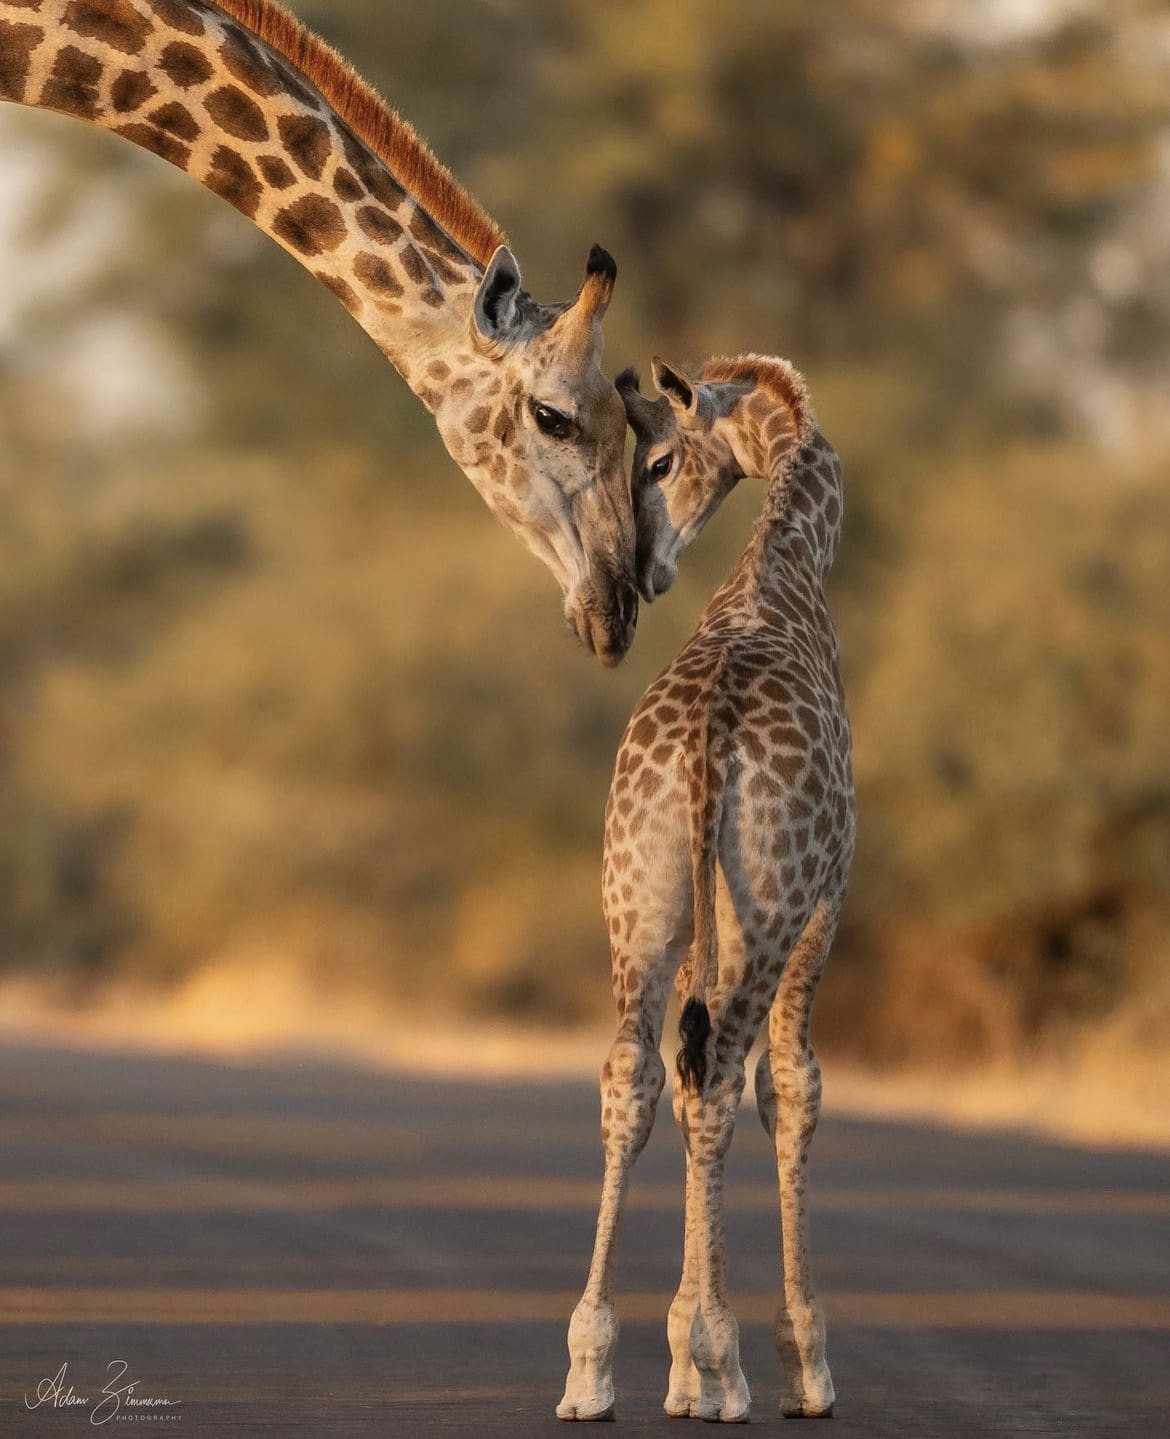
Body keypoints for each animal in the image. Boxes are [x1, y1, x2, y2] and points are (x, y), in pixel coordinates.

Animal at [555, 353, 846, 1421]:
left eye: (658, 458)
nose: (644, 571)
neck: (784, 569)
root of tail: (710, 738)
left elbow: (677, 1088)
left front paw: (677, 1353)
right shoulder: (828, 892)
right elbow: (792, 1085)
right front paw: (795, 1360)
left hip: (638, 896)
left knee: (634, 1073)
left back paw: (590, 1366)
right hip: (765, 905)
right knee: (723, 1074)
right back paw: (731, 1365)